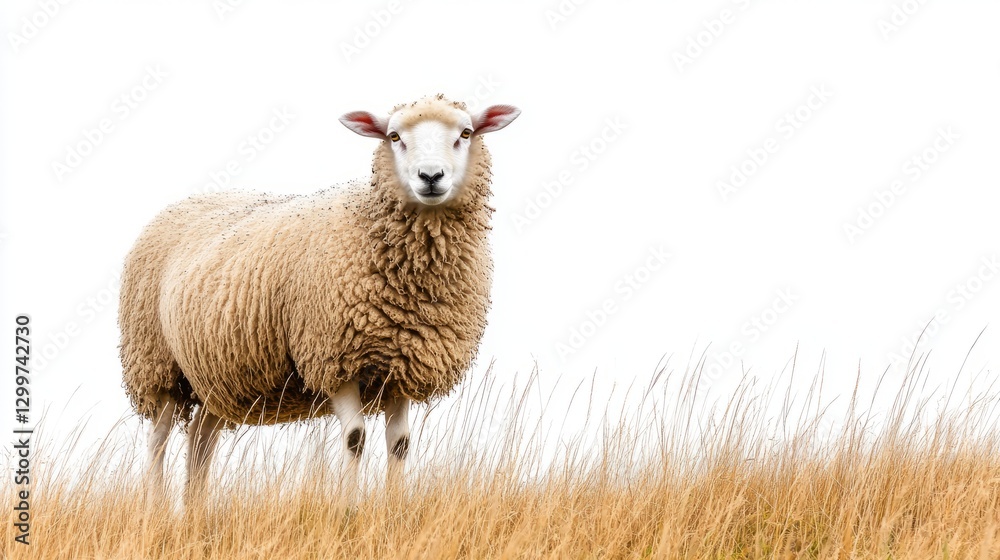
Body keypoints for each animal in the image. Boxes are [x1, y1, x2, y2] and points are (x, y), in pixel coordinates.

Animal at [119, 95, 520, 501]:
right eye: (394, 136)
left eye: (465, 133)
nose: (431, 176)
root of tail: (183, 203)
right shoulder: (333, 358)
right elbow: (355, 439)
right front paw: (348, 508)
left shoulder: (402, 365)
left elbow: (400, 445)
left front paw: (394, 506)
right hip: (157, 365)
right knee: (158, 441)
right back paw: (158, 507)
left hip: (217, 376)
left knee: (201, 437)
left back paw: (196, 510)